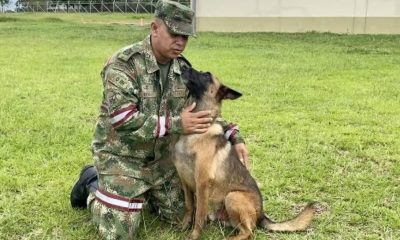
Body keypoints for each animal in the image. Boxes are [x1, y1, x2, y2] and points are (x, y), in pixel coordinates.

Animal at [173, 67, 318, 240]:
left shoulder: (202, 183)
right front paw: (182, 226)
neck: (195, 133)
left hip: (233, 196)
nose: (183, 67)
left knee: (248, 232)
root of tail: (262, 214)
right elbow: (189, 207)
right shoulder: (185, 181)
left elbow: (199, 214)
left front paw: (193, 235)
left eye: (206, 75)